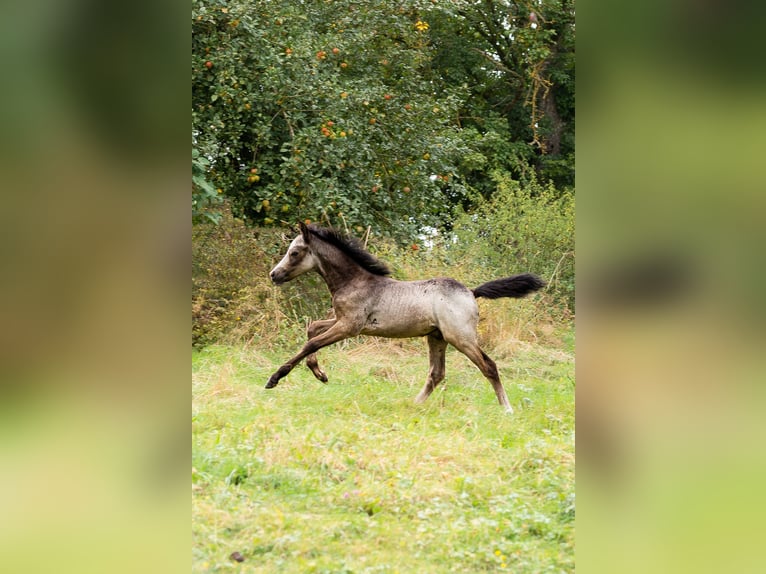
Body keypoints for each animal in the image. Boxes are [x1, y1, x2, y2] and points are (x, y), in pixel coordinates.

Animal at [270, 223, 544, 412]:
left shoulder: (349, 326)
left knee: (489, 366)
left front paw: (275, 378)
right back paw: (414, 404)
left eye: (295, 252)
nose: (274, 274)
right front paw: (320, 374)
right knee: (436, 374)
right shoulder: (342, 321)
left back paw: (507, 408)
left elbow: (312, 342)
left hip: (461, 337)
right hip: (437, 337)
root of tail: (471, 291)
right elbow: (312, 329)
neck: (355, 282)